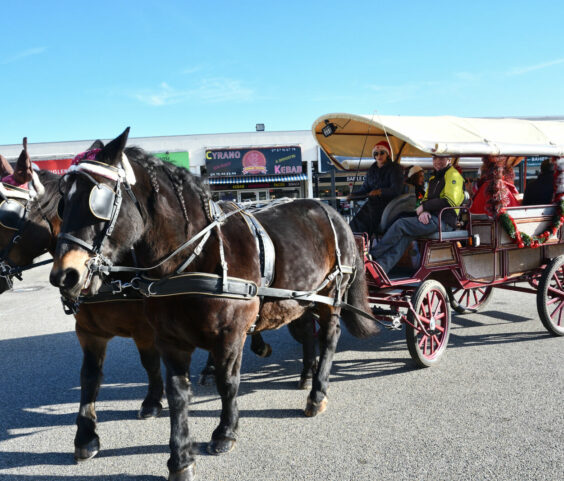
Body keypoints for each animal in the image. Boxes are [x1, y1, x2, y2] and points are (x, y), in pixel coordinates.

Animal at [49, 128, 378, 480]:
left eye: (100, 199)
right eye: (63, 202)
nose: (64, 275)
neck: (194, 256)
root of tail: (331, 210)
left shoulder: (230, 335)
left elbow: (228, 382)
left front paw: (225, 432)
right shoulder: (167, 340)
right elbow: (176, 393)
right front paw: (180, 457)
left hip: (331, 295)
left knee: (329, 337)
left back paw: (317, 393)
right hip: (297, 299)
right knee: (305, 333)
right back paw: (306, 374)